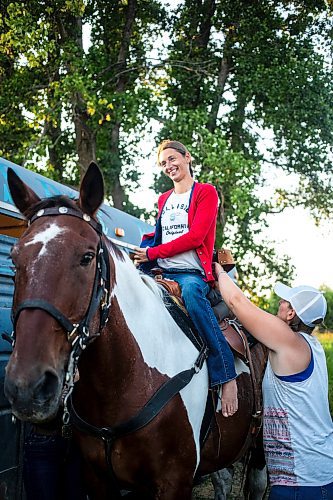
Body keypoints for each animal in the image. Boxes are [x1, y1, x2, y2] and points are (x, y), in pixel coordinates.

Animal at [3, 163, 268, 496]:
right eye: (14, 260)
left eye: (87, 257)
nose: (28, 387)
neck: (125, 379)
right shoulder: (97, 479)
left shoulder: (174, 481)